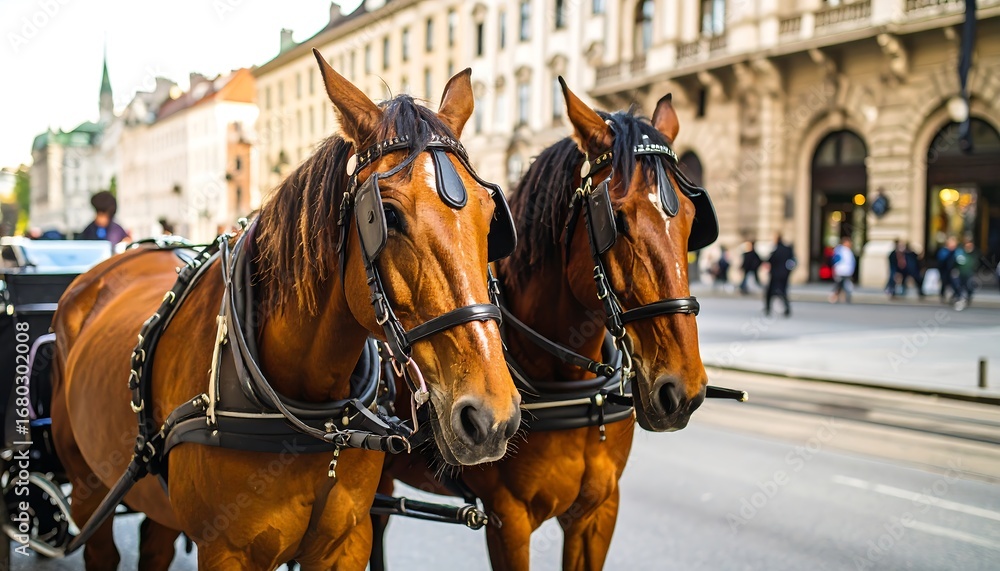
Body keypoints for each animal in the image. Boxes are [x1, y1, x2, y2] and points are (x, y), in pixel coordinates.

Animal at [50, 50, 521, 570]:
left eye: (491, 217)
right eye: (389, 215)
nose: (491, 417)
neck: (312, 413)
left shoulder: (346, 542)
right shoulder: (225, 551)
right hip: (89, 488)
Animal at [375, 80, 717, 570]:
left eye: (692, 220)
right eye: (616, 217)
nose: (683, 391)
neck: (573, 389)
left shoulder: (598, 511)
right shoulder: (508, 522)